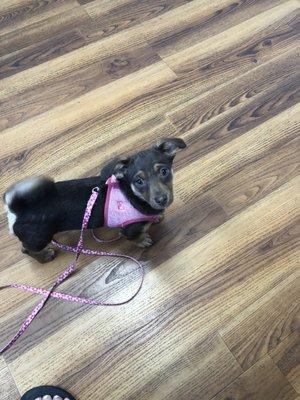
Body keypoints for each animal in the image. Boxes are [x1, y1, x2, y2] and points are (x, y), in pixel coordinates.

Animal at [4, 138, 185, 262]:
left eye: (164, 171)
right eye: (139, 181)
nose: (161, 199)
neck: (134, 196)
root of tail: (17, 210)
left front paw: (157, 217)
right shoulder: (128, 230)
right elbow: (136, 237)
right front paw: (143, 240)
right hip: (39, 238)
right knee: (26, 250)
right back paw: (45, 256)